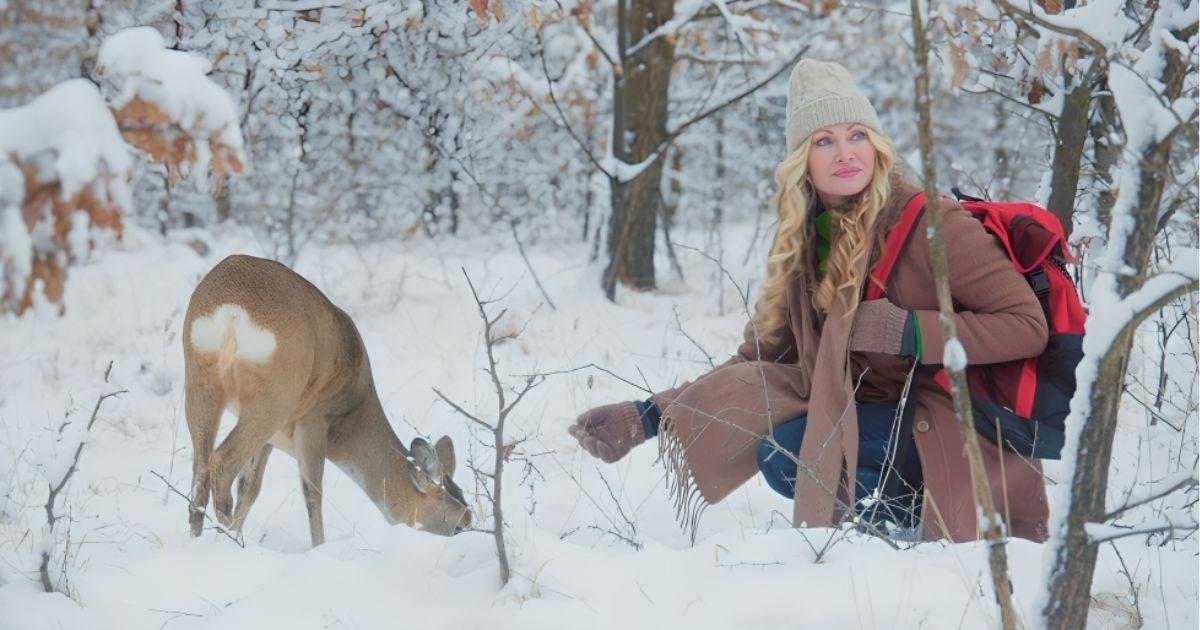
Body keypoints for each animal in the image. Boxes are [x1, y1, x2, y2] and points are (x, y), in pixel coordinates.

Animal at [180, 252, 470, 544]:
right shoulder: (314, 418)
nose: (469, 533)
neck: (353, 413)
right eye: (459, 525)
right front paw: (318, 546)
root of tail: (231, 312)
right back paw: (231, 538)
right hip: (274, 397)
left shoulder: (273, 439)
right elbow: (312, 491)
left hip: (201, 383)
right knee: (221, 463)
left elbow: (250, 486)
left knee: (201, 474)